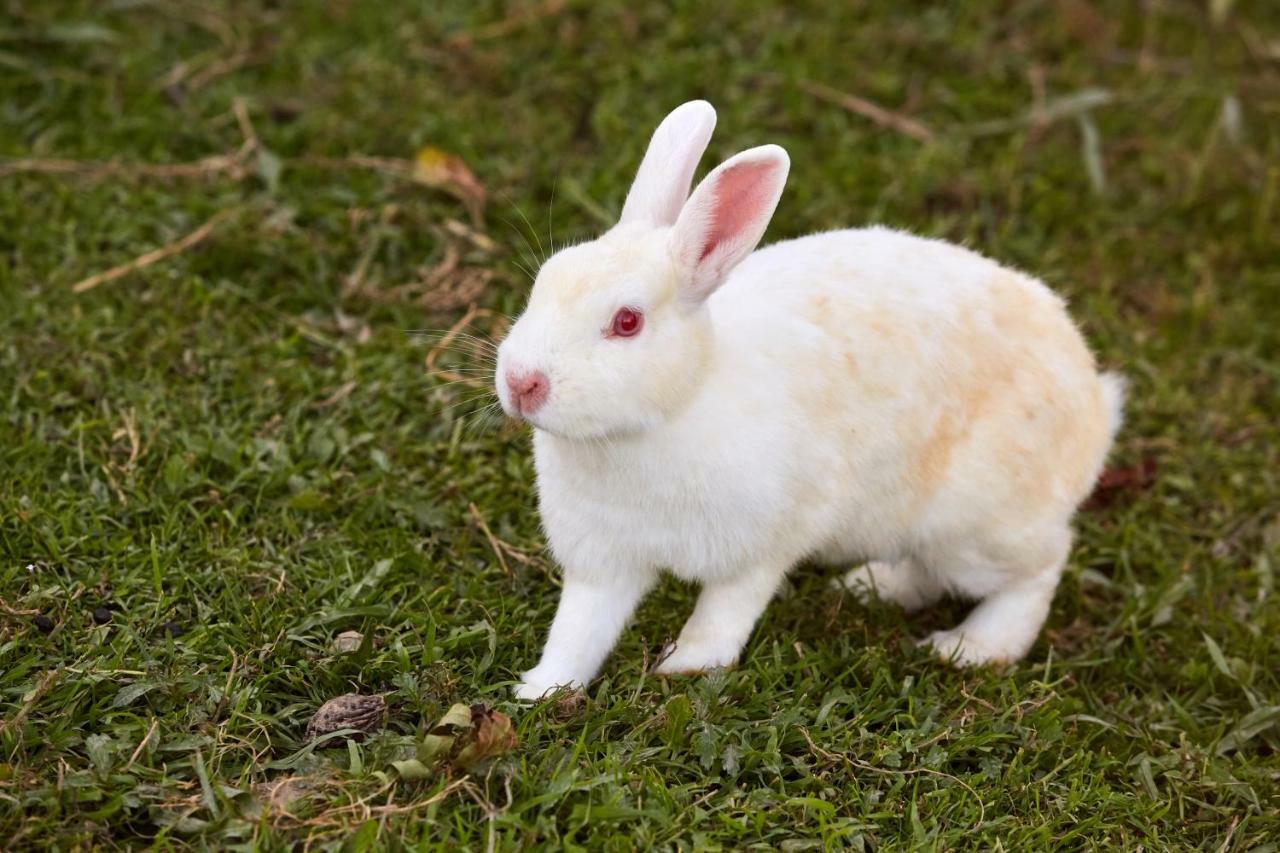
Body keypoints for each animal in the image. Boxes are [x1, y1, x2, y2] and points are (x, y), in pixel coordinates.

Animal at [494, 99, 1126, 696]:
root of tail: (1094, 401)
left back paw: (970, 646)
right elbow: (578, 632)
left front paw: (685, 669)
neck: (675, 408)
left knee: (1039, 570)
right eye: (544, 281)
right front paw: (541, 691)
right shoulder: (601, 563)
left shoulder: (761, 547)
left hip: (976, 528)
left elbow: (721, 616)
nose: (522, 382)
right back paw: (871, 586)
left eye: (627, 322)